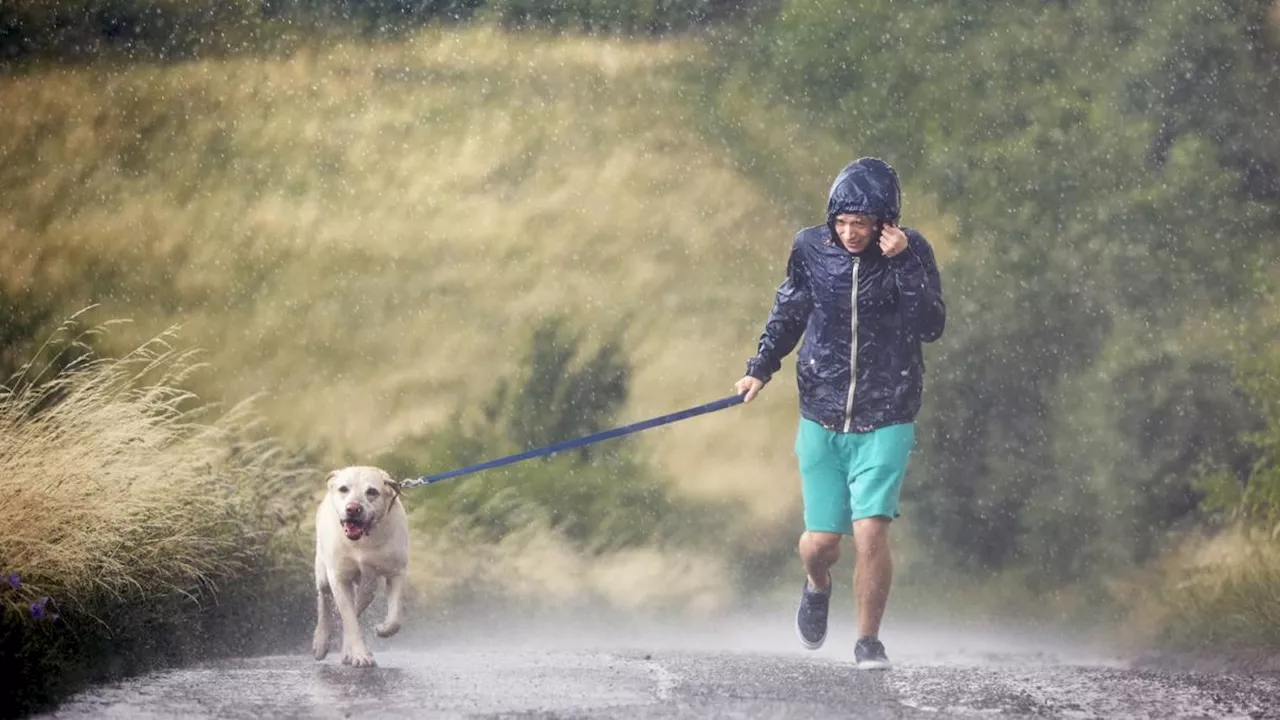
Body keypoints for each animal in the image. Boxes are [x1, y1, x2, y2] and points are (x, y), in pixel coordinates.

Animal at [312, 461, 407, 666]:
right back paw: (321, 642)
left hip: (368, 586)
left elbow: (395, 618)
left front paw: (383, 629)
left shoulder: (396, 572)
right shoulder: (338, 577)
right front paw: (360, 654)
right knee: (324, 599)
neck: (363, 541)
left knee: (360, 601)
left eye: (372, 491)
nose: (353, 508)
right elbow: (349, 618)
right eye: (343, 489)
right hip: (323, 572)